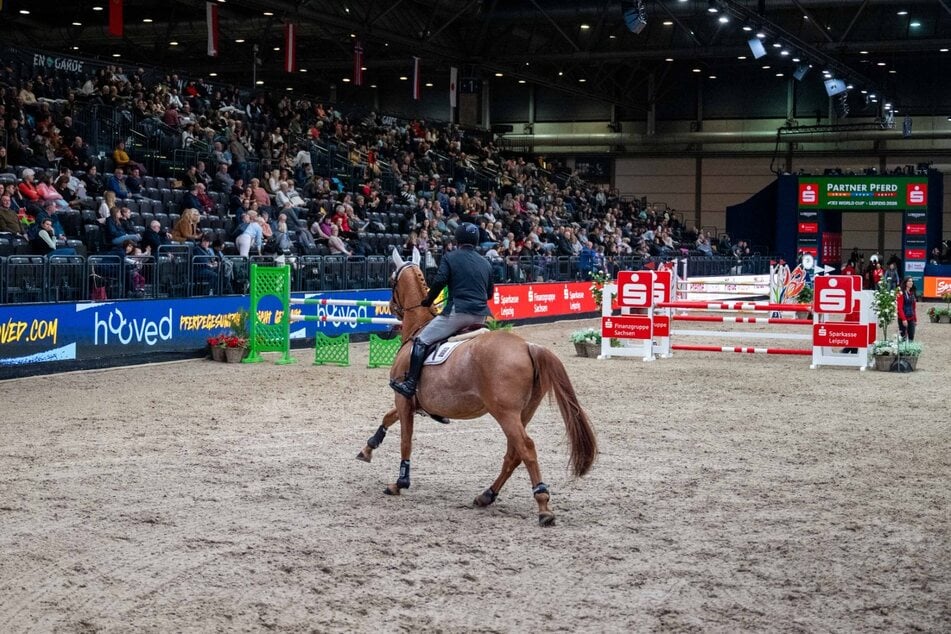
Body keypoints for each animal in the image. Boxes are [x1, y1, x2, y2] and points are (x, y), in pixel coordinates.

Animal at [355, 248, 597, 526]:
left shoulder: (404, 398)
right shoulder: (412, 402)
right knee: (513, 453)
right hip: (522, 413)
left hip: (505, 413)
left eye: (392, 280)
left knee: (525, 448)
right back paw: (487, 495)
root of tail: (528, 346)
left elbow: (406, 440)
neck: (418, 328)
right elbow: (387, 417)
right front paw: (367, 449)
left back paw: (543, 506)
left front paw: (399, 483)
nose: (393, 310)